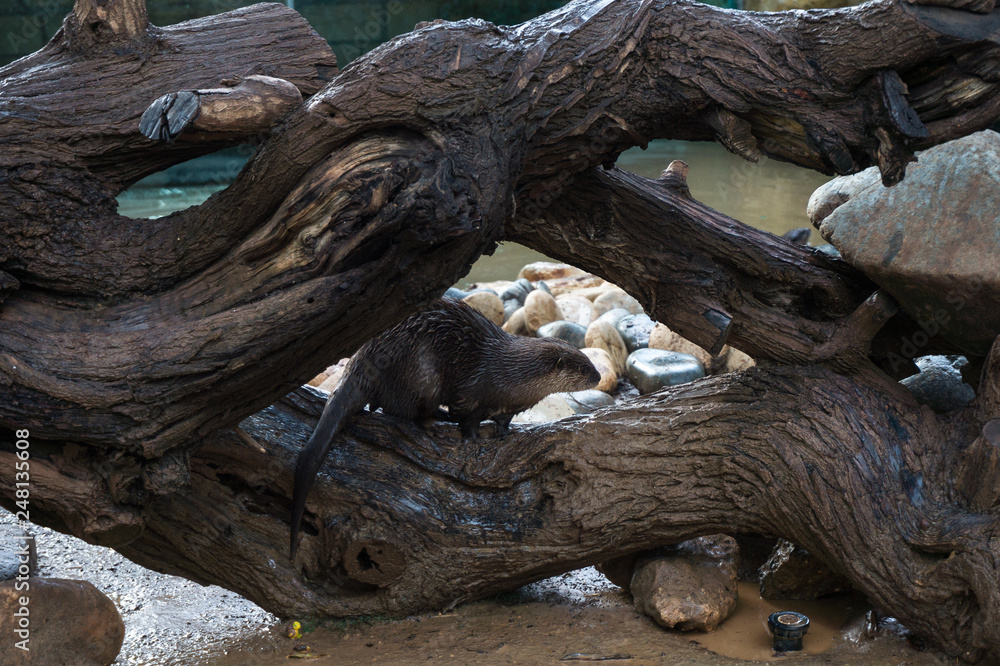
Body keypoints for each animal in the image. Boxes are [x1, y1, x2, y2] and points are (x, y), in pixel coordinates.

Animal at [290, 298, 601, 558]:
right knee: (400, 410)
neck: (511, 377)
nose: (598, 377)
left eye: (589, 361)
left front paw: (505, 433)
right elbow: (466, 416)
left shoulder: (510, 406)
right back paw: (432, 425)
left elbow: (504, 420)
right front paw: (473, 438)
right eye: (583, 368)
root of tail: (363, 358)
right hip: (421, 370)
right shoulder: (471, 390)